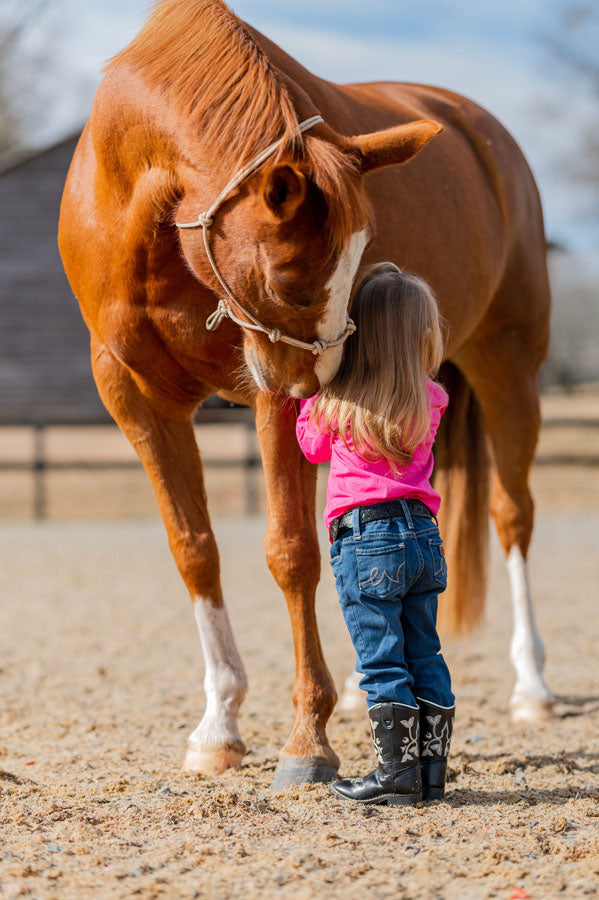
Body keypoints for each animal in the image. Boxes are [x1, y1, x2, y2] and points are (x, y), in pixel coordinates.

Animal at [58, 0, 556, 788]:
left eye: (360, 260)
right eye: (290, 278)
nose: (323, 384)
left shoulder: (270, 397)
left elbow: (290, 552)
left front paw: (305, 740)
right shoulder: (136, 399)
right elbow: (194, 548)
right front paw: (219, 726)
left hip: (508, 366)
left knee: (512, 516)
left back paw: (531, 687)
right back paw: (359, 685)